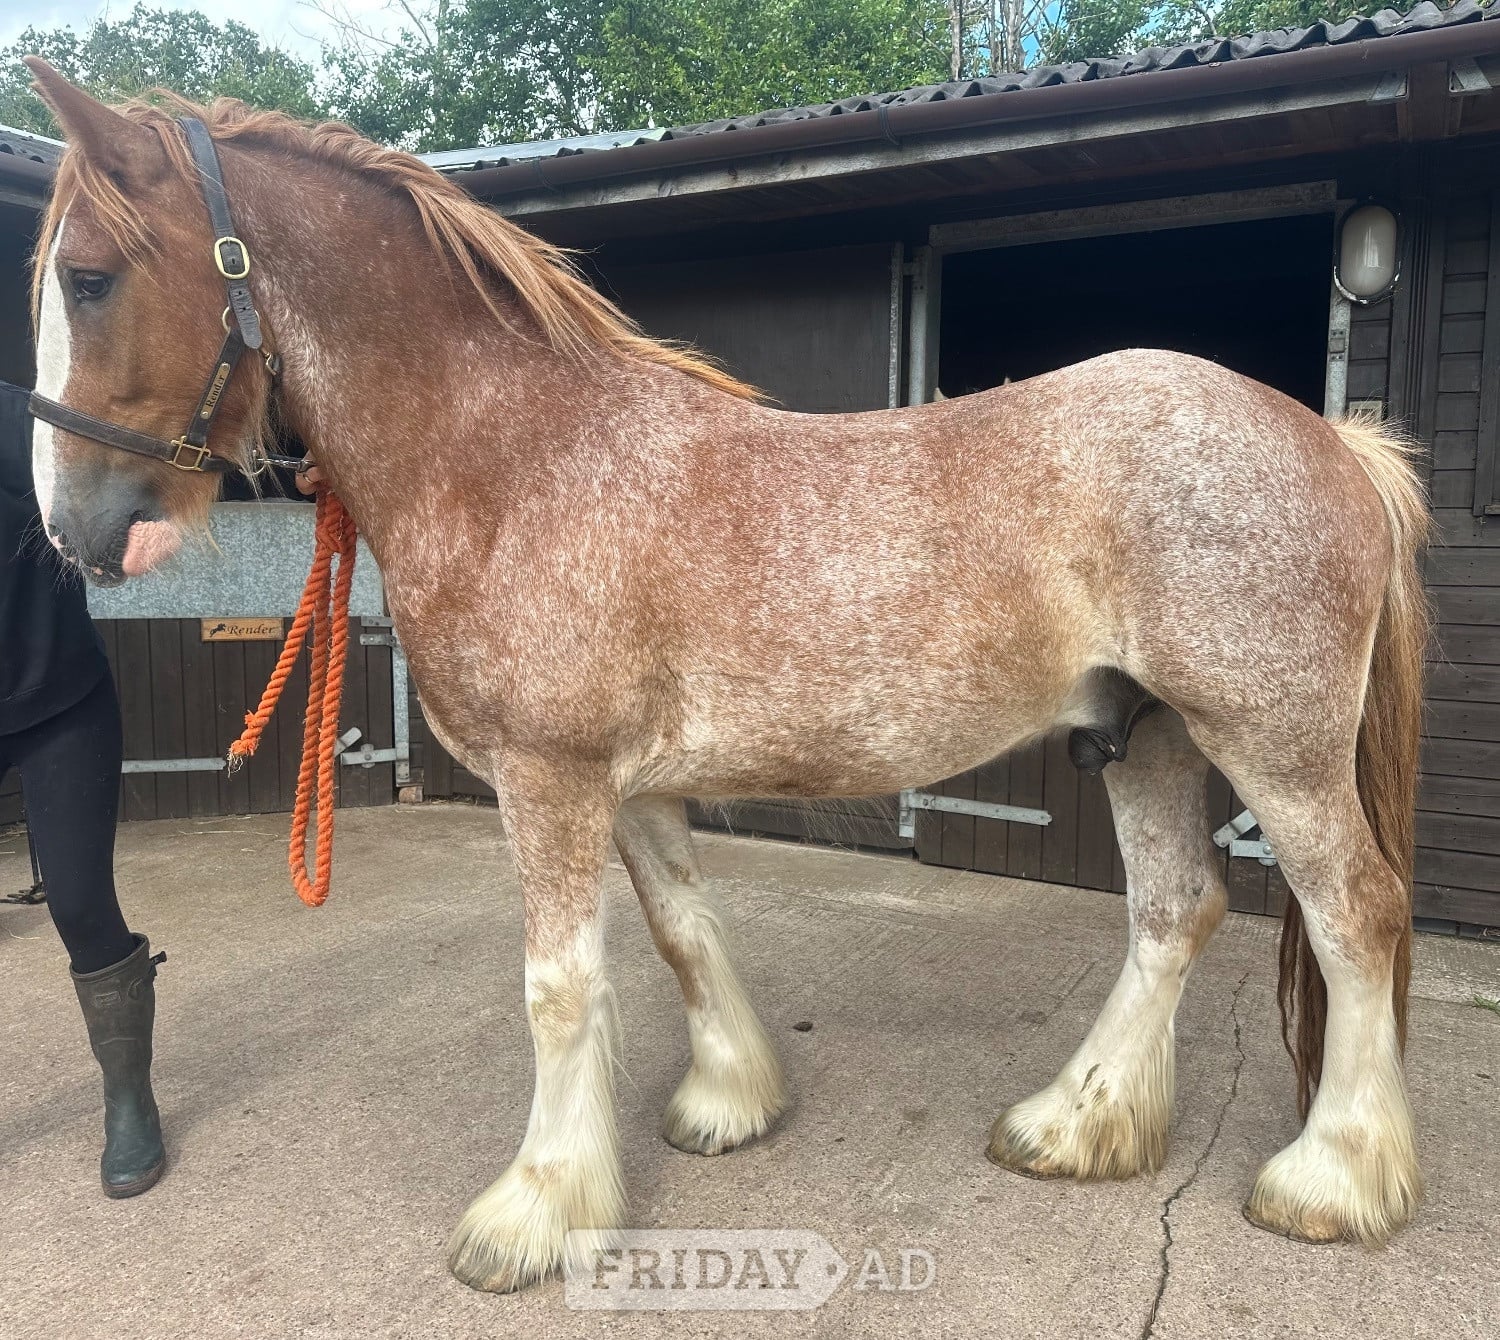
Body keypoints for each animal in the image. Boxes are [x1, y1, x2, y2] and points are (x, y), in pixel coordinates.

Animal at [23, 61, 1429, 1292]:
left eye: (88, 280)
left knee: (1357, 912)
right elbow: (681, 931)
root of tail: (1334, 443)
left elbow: (559, 986)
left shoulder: (550, 780)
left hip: (1275, 745)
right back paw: (1077, 1122)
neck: (519, 458)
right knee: (1175, 911)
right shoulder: (633, 787)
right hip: (1149, 734)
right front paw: (726, 1099)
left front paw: (535, 1211)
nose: (72, 531)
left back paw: (1331, 1176)